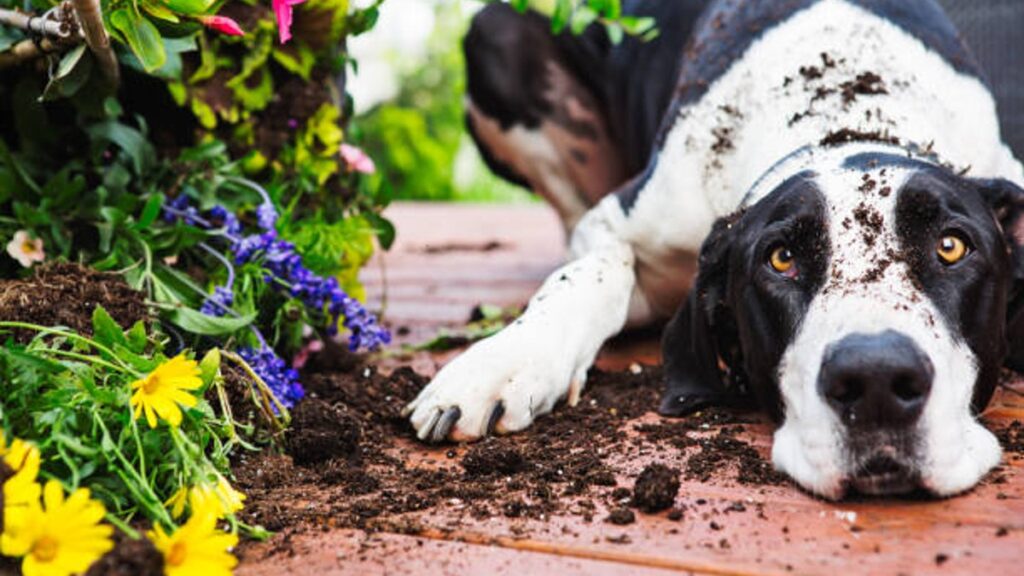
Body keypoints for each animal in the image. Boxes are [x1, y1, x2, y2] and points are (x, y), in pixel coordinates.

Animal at [401, 0, 1024, 496]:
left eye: (951, 247)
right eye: (781, 258)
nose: (876, 382)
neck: (847, 117)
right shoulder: (619, 223)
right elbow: (589, 275)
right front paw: (504, 363)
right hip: (496, 35)